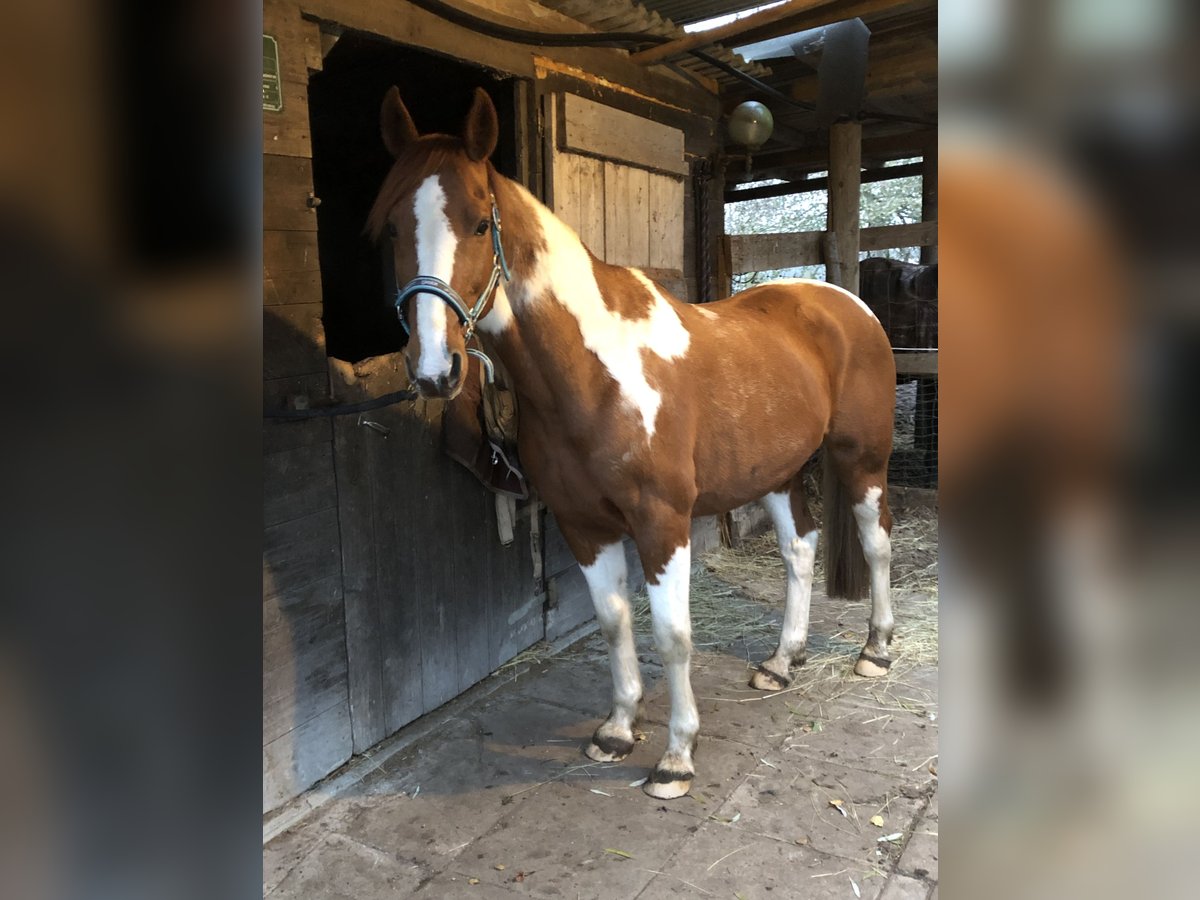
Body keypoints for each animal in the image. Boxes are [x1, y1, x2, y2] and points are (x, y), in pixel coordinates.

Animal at [369, 86, 897, 801]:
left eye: (480, 224)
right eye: (392, 227)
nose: (434, 369)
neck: (594, 374)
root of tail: (843, 301)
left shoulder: (661, 522)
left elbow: (672, 635)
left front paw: (676, 757)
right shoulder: (583, 525)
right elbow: (615, 621)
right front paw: (618, 731)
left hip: (861, 459)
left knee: (876, 542)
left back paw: (876, 650)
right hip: (777, 471)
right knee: (799, 550)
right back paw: (782, 662)